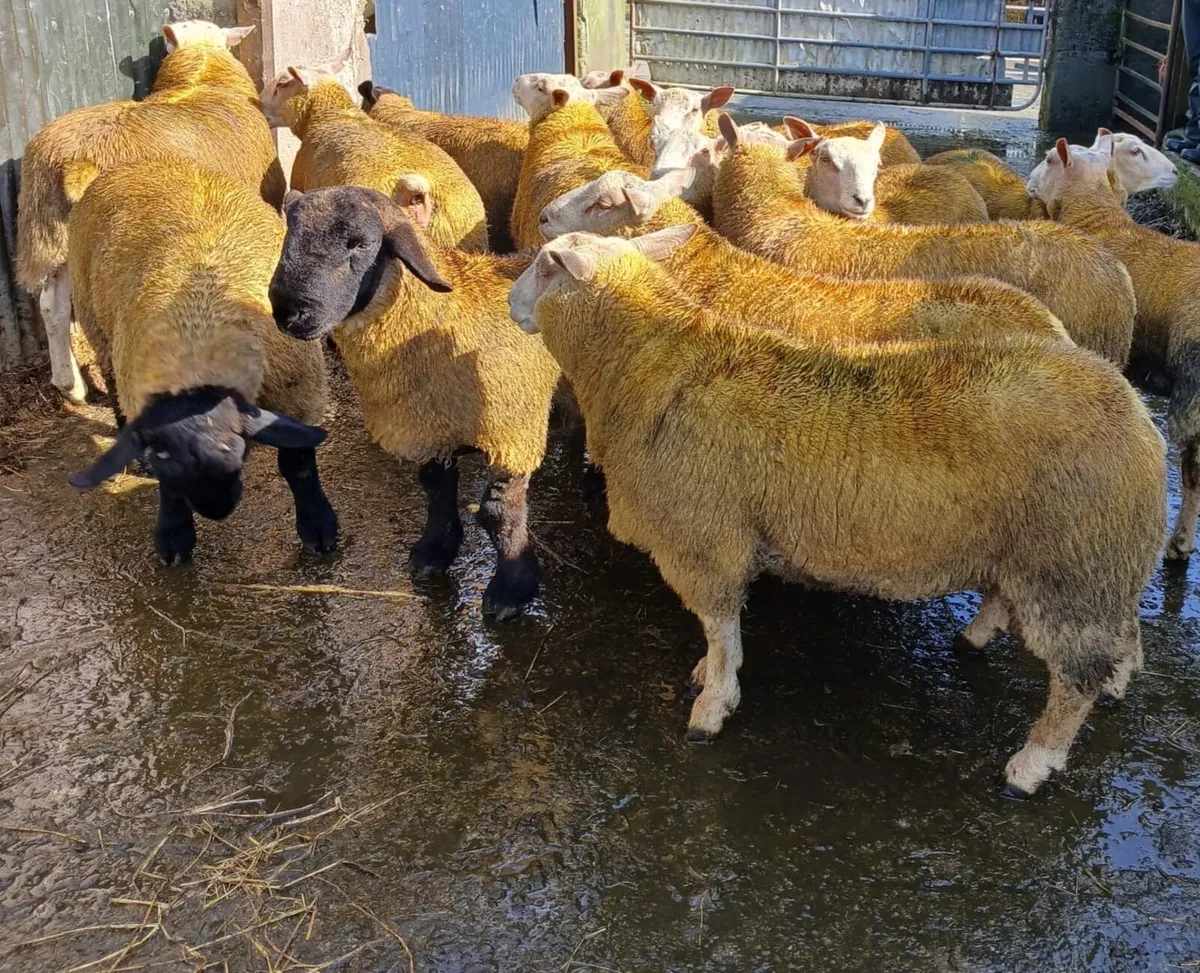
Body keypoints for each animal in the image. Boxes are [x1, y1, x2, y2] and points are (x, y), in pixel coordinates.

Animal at [65, 159, 335, 565]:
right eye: (163, 455)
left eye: (235, 447)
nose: (215, 508)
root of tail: (134, 163)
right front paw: (174, 536)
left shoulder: (300, 397)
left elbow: (298, 462)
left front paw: (318, 526)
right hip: (96, 324)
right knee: (111, 382)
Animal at [269, 185, 561, 620]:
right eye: (290, 234)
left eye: (361, 242)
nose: (289, 313)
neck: (450, 317)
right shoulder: (430, 428)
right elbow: (436, 490)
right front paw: (434, 552)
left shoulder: (513, 434)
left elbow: (499, 514)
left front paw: (512, 589)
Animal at [509, 227, 1166, 798]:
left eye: (544, 265)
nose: (512, 304)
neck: (644, 366)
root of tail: (1132, 409)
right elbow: (721, 633)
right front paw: (710, 674)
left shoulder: (707, 538)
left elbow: (721, 627)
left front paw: (712, 707)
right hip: (1088, 556)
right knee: (1110, 623)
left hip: (1071, 561)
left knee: (1075, 679)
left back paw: (1031, 766)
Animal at [1032, 132, 1200, 559]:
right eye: (1134, 150)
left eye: (1047, 158)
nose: (1175, 171)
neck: (1101, 221)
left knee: (1192, 472)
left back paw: (1179, 540)